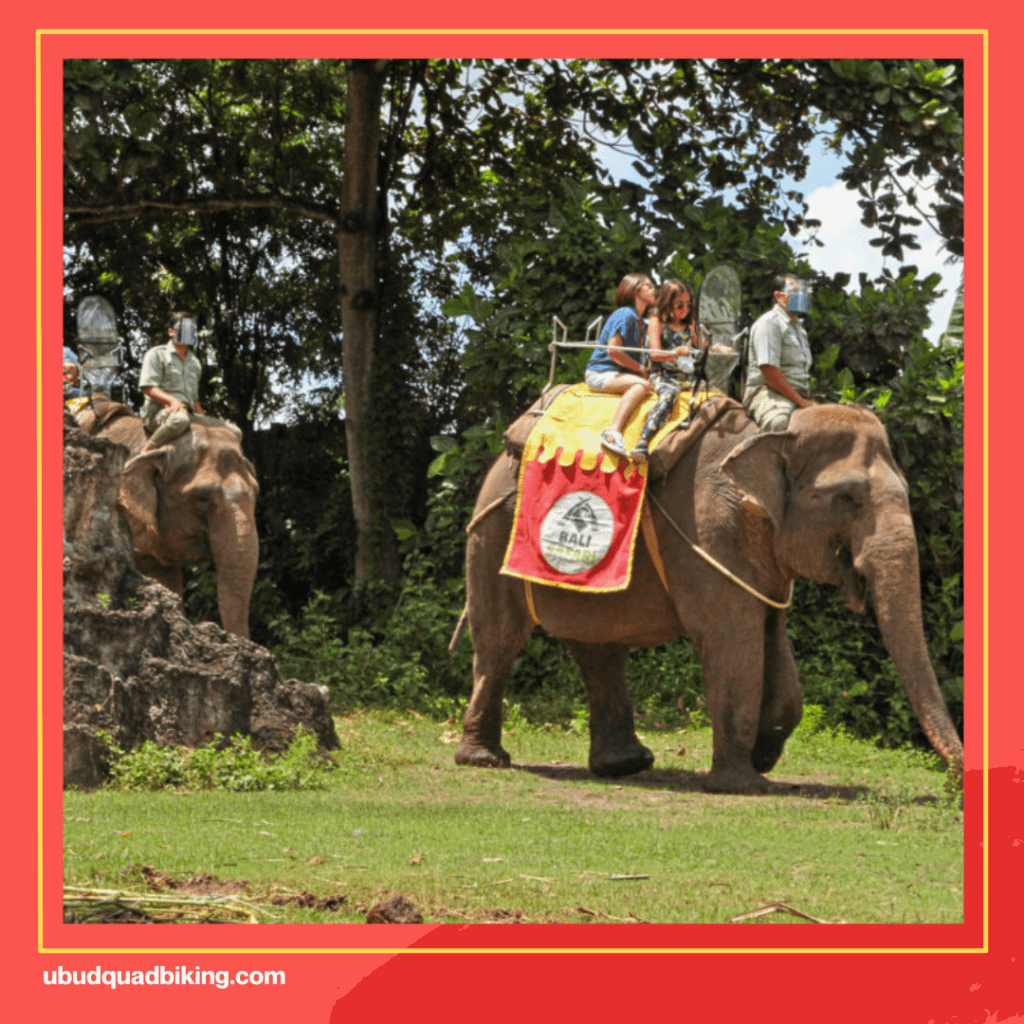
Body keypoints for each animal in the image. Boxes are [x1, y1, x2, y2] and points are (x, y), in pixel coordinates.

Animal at [452, 395, 962, 794]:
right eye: (848, 499)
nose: (955, 785)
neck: (772, 434)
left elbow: (773, 639)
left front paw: (764, 755)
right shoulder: (709, 531)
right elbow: (732, 639)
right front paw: (743, 784)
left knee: (595, 645)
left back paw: (626, 765)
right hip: (492, 533)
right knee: (499, 640)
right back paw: (484, 760)